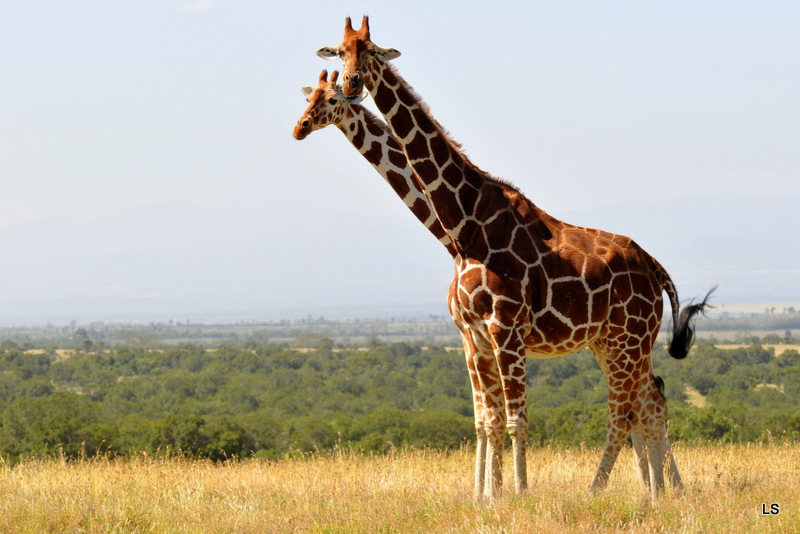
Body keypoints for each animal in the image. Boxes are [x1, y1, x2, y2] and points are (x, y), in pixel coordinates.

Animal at [318, 16, 712, 502]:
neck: (462, 226)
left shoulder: (504, 327)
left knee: (626, 412)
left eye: (370, 51)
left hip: (628, 340)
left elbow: (514, 418)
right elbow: (486, 420)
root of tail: (656, 268)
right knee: (647, 403)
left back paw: (604, 490)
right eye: (340, 52)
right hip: (616, 342)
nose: (352, 85)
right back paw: (654, 491)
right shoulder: (474, 335)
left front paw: (515, 493)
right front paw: (487, 495)